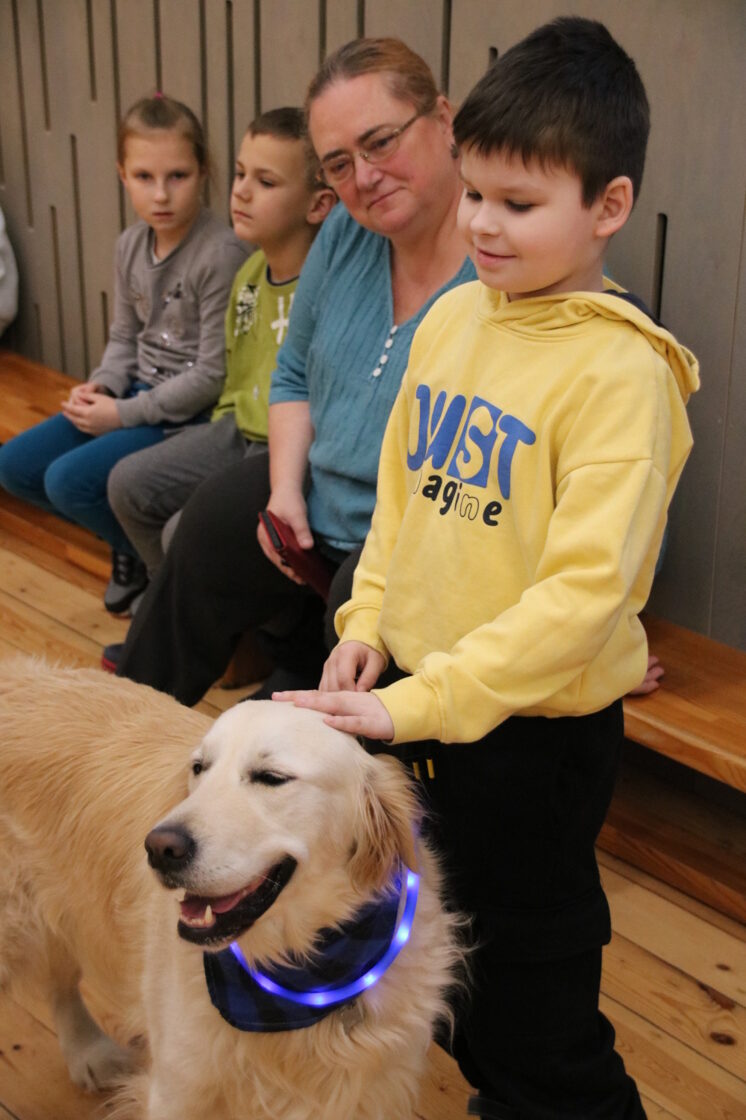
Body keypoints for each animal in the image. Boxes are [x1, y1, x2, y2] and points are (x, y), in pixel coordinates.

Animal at [0, 658, 461, 1119]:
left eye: (271, 777)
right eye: (198, 768)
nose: (159, 848)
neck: (304, 972)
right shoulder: (175, 1088)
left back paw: (88, 1053)